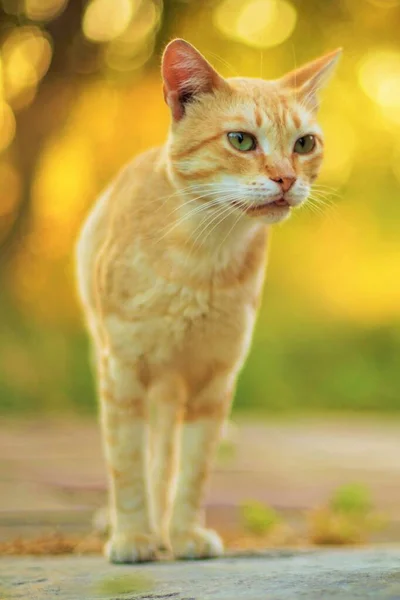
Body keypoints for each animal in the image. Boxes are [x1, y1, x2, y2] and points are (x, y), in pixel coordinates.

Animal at [76, 37, 340, 564]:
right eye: (241, 140)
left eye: (304, 144)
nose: (286, 179)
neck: (202, 255)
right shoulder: (123, 373)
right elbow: (126, 466)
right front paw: (132, 536)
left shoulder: (213, 380)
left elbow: (192, 471)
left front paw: (183, 534)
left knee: (165, 459)